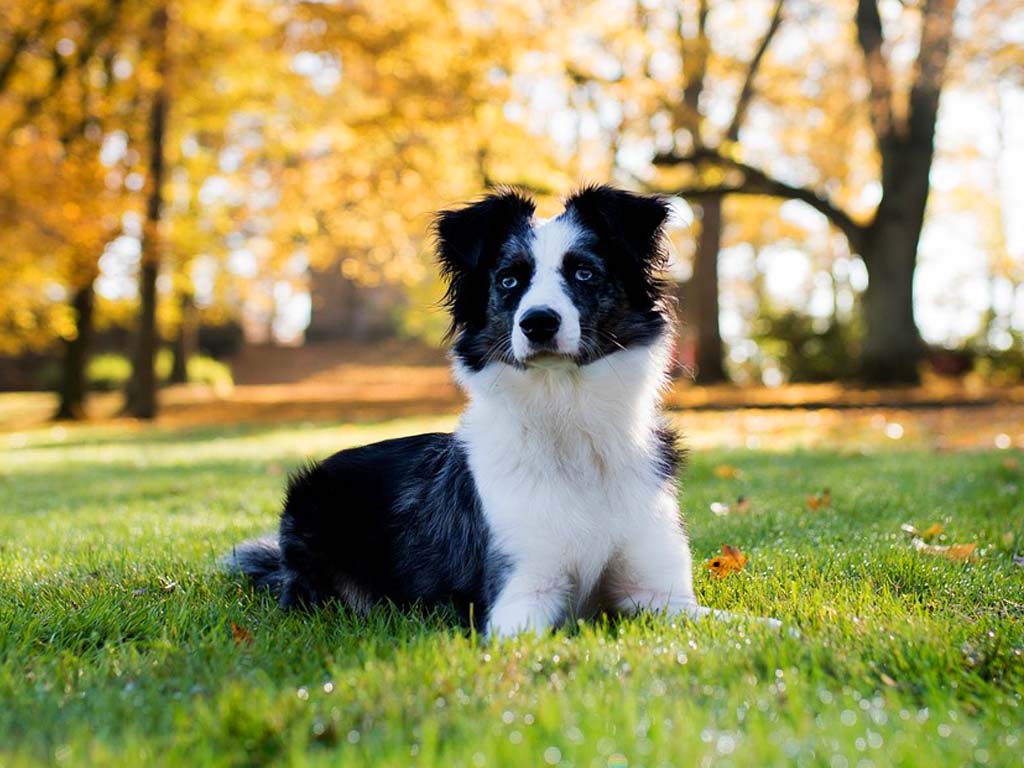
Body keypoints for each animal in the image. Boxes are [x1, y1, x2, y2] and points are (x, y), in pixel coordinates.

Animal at [226, 185, 770, 638]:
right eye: (509, 281)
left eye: (584, 273)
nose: (538, 323)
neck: (569, 422)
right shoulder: (522, 594)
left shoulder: (660, 597)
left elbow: (747, 625)